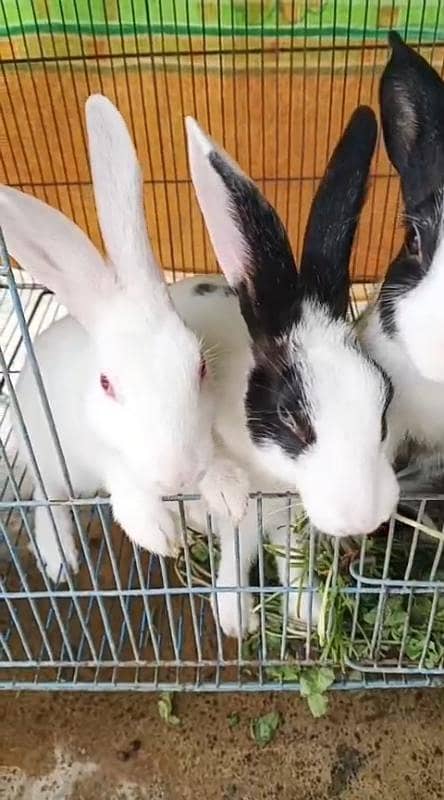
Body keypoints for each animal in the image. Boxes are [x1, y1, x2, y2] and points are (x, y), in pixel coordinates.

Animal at [0, 94, 249, 583]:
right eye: (106, 384)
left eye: (201, 367)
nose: (177, 477)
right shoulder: (99, 451)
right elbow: (122, 477)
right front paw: (158, 531)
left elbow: (214, 456)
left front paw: (228, 491)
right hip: (47, 457)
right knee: (46, 497)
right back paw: (59, 558)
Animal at [170, 105, 400, 637]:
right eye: (292, 419)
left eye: (383, 404)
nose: (361, 516)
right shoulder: (244, 511)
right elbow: (237, 550)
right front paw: (237, 620)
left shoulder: (289, 515)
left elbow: (291, 556)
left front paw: (308, 612)